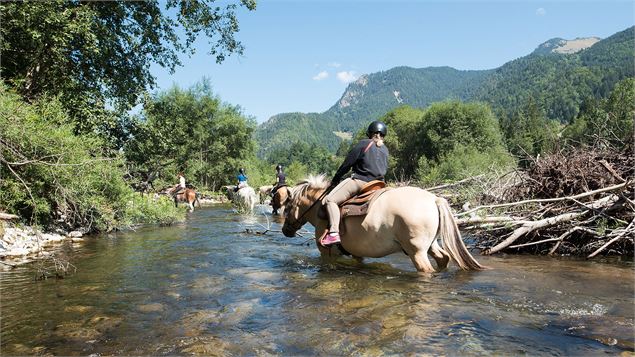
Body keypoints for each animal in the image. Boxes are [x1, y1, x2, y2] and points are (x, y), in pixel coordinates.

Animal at [280, 175, 484, 272]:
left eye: (287, 206)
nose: (285, 231)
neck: (319, 207)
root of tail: (434, 199)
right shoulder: (357, 254)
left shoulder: (327, 253)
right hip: (432, 244)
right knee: (443, 258)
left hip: (417, 252)